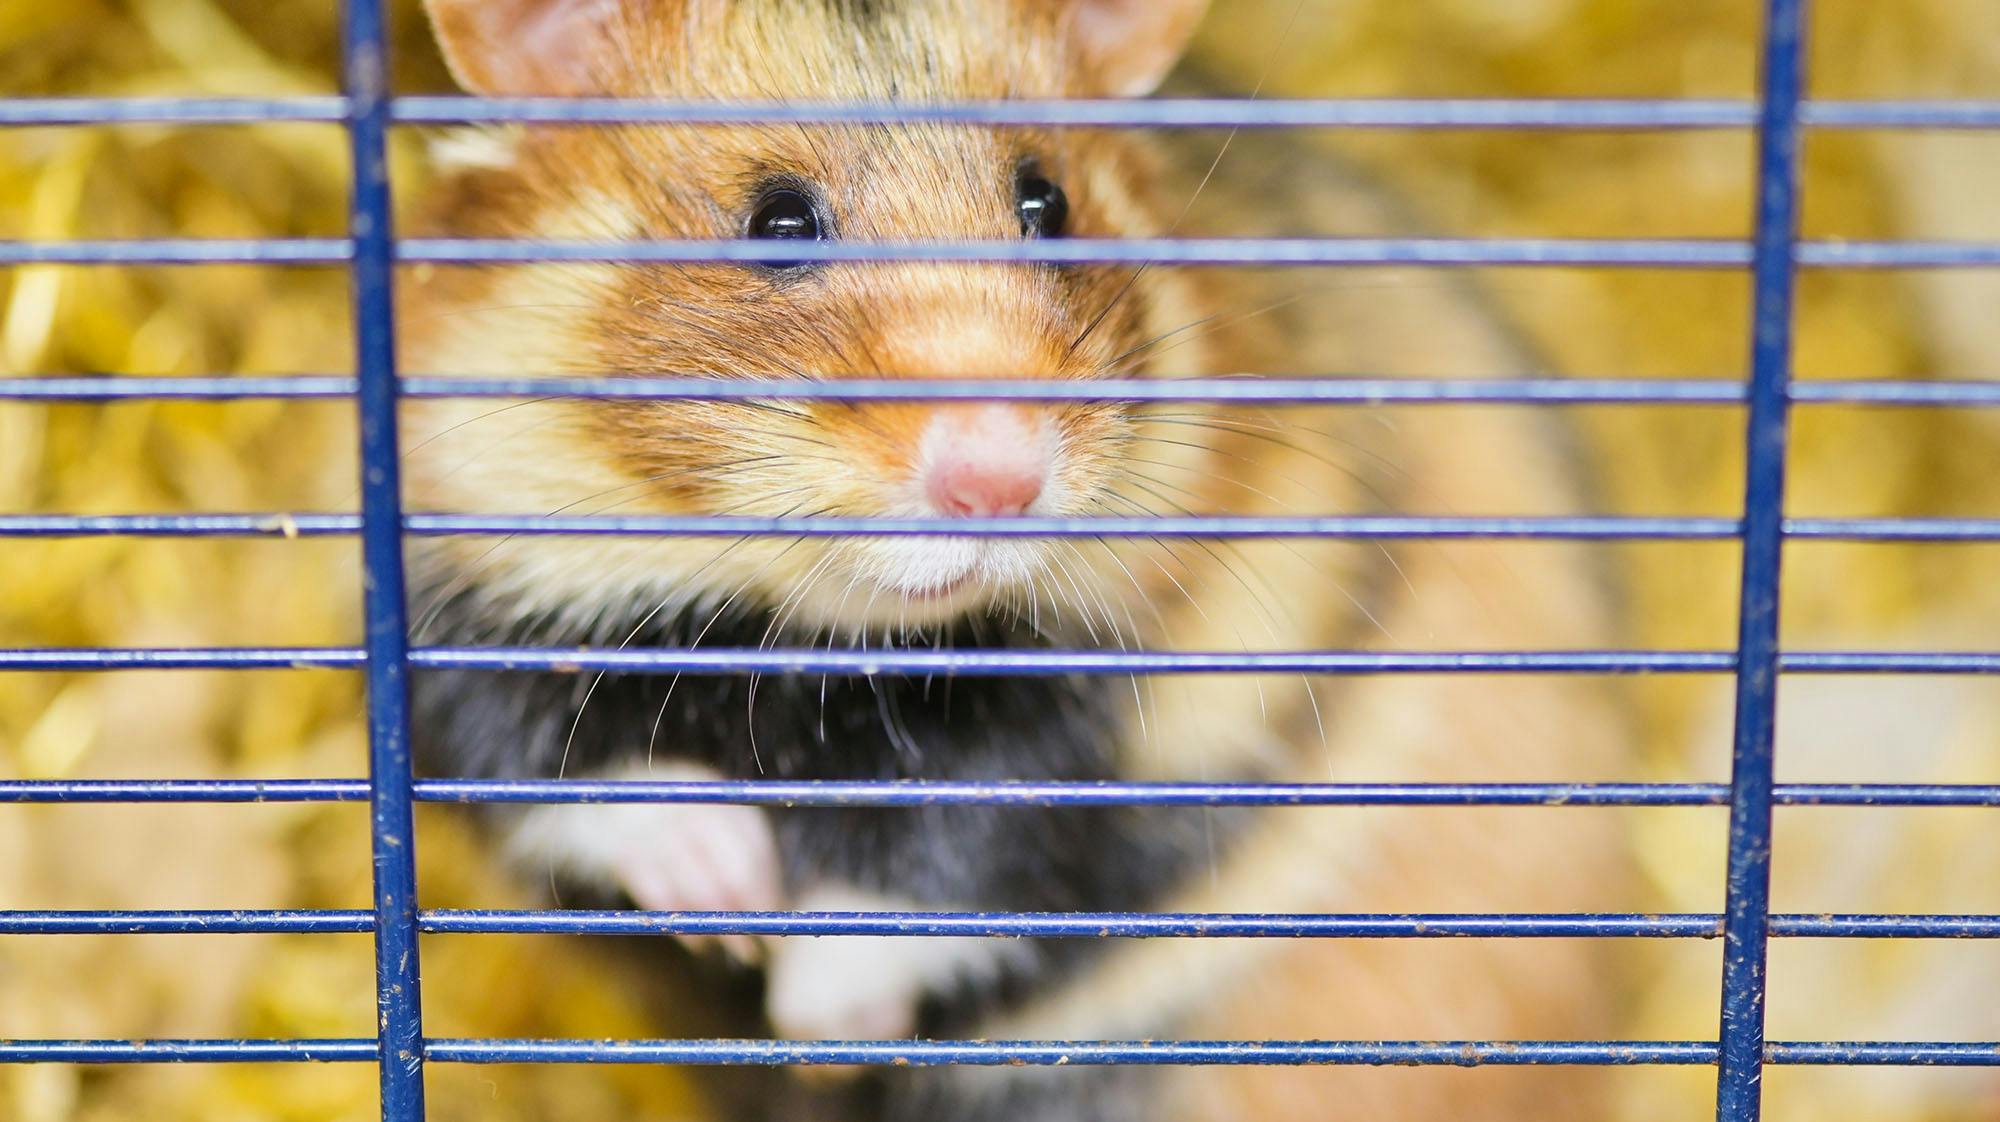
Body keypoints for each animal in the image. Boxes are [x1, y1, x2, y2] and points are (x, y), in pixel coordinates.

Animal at [401, 2, 1638, 1120]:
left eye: (1046, 203)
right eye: (775, 222)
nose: (998, 478)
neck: (823, 642)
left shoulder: (1142, 701)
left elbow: (968, 855)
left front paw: (814, 1025)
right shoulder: (456, 610)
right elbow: (574, 773)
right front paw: (729, 903)